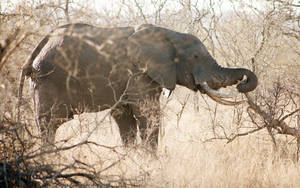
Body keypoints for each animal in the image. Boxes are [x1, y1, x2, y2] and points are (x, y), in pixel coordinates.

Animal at [18, 23, 258, 150]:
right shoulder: (138, 75)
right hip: (48, 80)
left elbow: (124, 118)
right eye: (196, 57)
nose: (242, 84)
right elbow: (147, 115)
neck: (168, 35)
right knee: (49, 123)